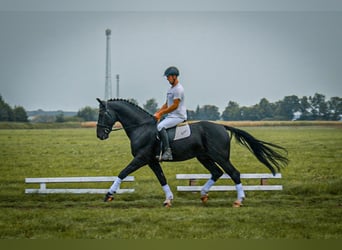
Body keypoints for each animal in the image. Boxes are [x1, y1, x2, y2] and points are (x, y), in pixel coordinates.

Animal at [96, 98, 288, 207]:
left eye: (102, 114)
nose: (100, 135)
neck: (141, 128)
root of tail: (221, 127)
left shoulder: (141, 158)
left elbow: (123, 172)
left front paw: (109, 195)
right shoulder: (152, 160)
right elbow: (162, 178)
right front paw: (168, 199)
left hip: (220, 156)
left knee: (233, 173)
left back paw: (238, 201)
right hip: (204, 157)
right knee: (217, 172)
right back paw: (203, 194)